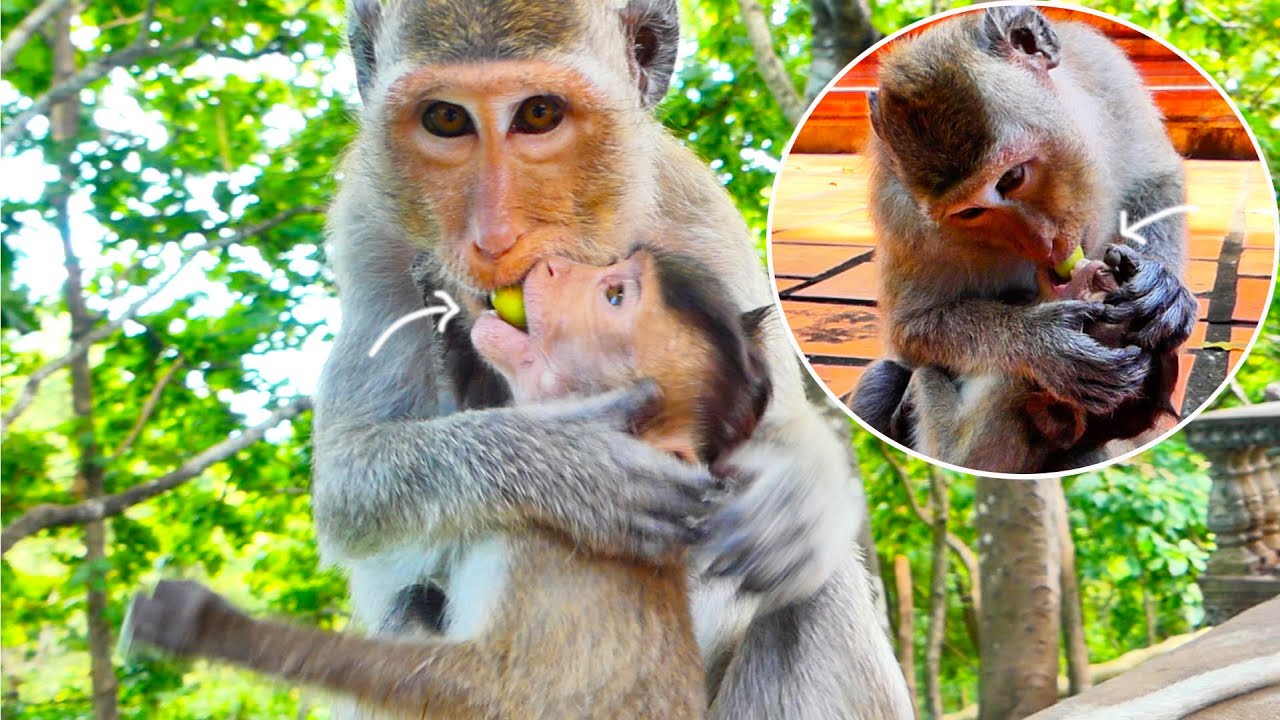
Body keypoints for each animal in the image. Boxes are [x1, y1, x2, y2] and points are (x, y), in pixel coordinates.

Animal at [311, 2, 912, 717]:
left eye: (539, 114)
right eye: (447, 119)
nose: (495, 239)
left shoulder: (695, 211)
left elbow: (770, 422)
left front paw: (798, 491)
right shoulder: (367, 233)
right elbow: (350, 481)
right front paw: (577, 465)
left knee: (817, 591)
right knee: (411, 608)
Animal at [849, 5, 1197, 468]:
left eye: (1012, 178)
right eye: (969, 212)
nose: (1041, 242)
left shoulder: (1108, 76)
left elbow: (1155, 181)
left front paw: (1161, 288)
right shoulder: (902, 214)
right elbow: (914, 329)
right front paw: (1046, 346)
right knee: (888, 375)